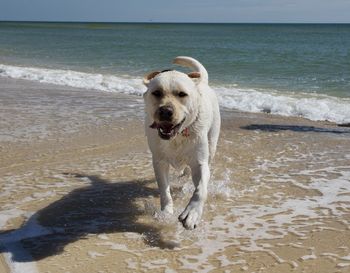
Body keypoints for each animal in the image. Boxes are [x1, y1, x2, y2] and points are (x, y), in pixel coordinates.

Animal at [143, 55, 220, 227]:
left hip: (212, 143)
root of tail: (202, 83)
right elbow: (164, 189)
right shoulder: (159, 162)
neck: (176, 136)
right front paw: (166, 212)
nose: (165, 111)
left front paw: (192, 213)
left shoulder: (200, 162)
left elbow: (201, 189)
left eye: (182, 94)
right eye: (156, 92)